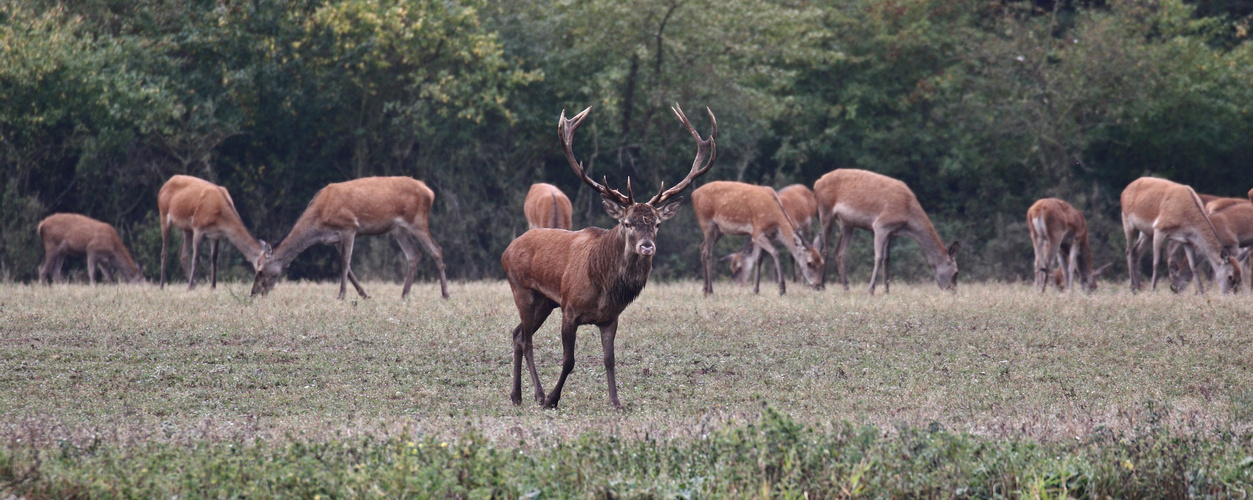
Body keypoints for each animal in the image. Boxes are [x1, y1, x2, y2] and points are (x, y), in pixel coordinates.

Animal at [249, 176, 451, 299]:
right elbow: (349, 266)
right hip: (398, 228)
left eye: (260, 271)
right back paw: (404, 294)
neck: (319, 219)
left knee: (437, 250)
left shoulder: (349, 227)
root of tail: (430, 192)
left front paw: (342, 295)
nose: (254, 293)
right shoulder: (335, 239)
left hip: (417, 220)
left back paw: (445, 294)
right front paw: (364, 294)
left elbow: (345, 263)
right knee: (414, 254)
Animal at [501, 104, 716, 411]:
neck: (603, 286)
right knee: (527, 340)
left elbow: (610, 360)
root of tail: (506, 250)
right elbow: (569, 360)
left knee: (517, 333)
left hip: (545, 302)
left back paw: (516, 395)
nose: (647, 247)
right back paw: (539, 395)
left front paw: (616, 401)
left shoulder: (610, 317)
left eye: (657, 224)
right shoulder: (570, 309)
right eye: (627, 223)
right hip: (522, 290)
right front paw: (554, 399)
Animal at [811, 169, 957, 293]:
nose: (953, 292)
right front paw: (870, 290)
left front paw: (887, 290)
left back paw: (846, 287)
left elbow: (887, 259)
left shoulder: (891, 232)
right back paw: (821, 286)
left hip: (847, 223)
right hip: (825, 212)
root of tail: (816, 184)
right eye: (956, 273)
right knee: (826, 249)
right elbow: (879, 257)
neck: (908, 220)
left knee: (839, 251)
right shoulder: (880, 225)